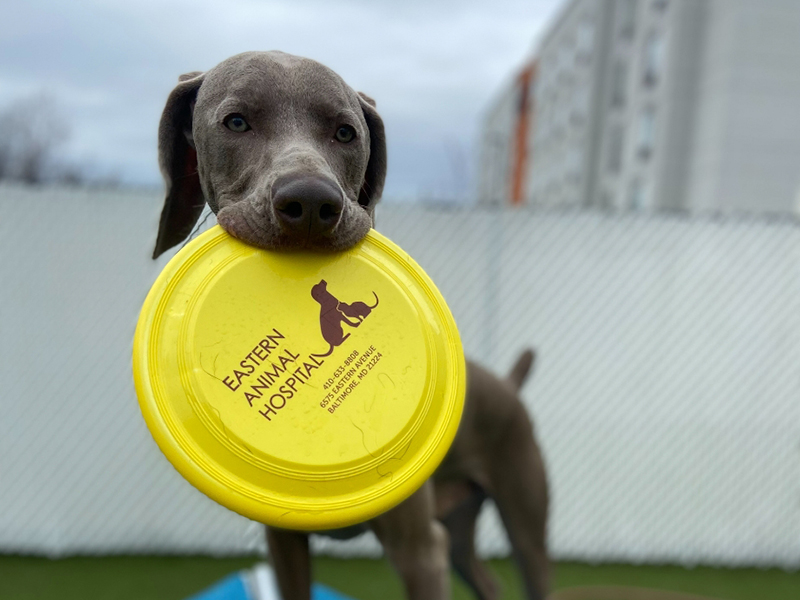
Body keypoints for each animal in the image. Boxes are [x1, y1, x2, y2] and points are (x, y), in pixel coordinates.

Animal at [151, 50, 552, 600]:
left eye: (346, 133)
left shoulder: (419, 546)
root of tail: (509, 387)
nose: (310, 205)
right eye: (235, 121)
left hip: (523, 518)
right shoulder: (282, 542)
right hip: (461, 533)